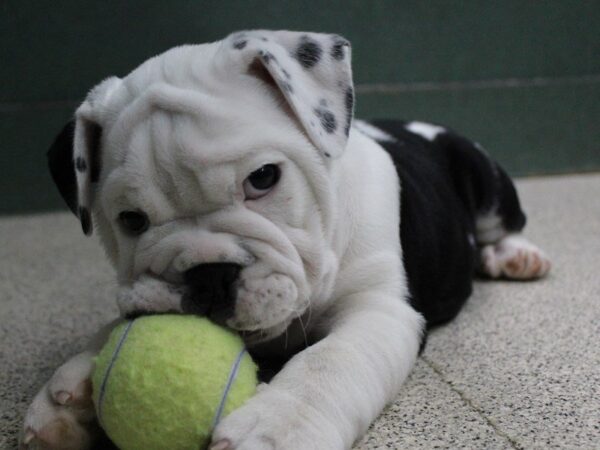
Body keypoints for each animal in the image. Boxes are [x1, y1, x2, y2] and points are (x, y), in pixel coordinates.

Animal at [21, 29, 552, 448]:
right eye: (131, 220)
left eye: (263, 178)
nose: (208, 274)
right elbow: (118, 322)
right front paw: (70, 391)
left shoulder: (379, 310)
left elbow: (328, 362)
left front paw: (277, 427)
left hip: (486, 179)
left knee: (502, 225)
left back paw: (517, 256)